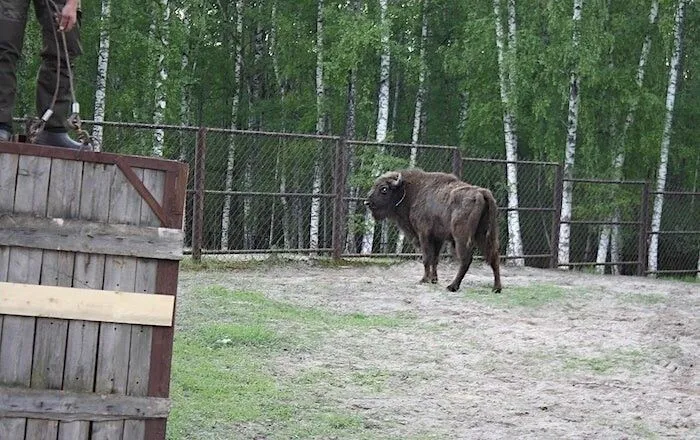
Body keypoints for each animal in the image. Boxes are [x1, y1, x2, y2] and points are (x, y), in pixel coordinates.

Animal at [366, 170, 504, 294]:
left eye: (384, 189)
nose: (367, 202)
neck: (411, 191)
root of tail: (482, 193)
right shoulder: (438, 238)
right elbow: (435, 259)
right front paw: (434, 280)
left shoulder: (424, 234)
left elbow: (427, 258)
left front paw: (424, 280)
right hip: (486, 235)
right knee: (494, 257)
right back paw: (496, 288)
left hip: (462, 238)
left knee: (466, 259)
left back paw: (452, 286)